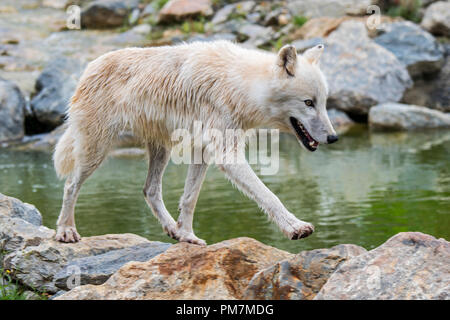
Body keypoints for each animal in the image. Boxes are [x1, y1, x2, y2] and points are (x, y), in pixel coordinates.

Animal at [52, 40, 336, 245]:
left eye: (323, 102)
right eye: (308, 103)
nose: (333, 138)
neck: (240, 86)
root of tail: (88, 68)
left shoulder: (203, 151)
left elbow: (190, 198)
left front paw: (188, 236)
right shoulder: (227, 156)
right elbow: (270, 195)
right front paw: (295, 227)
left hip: (161, 149)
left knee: (150, 190)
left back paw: (173, 230)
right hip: (97, 149)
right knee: (70, 185)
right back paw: (66, 231)